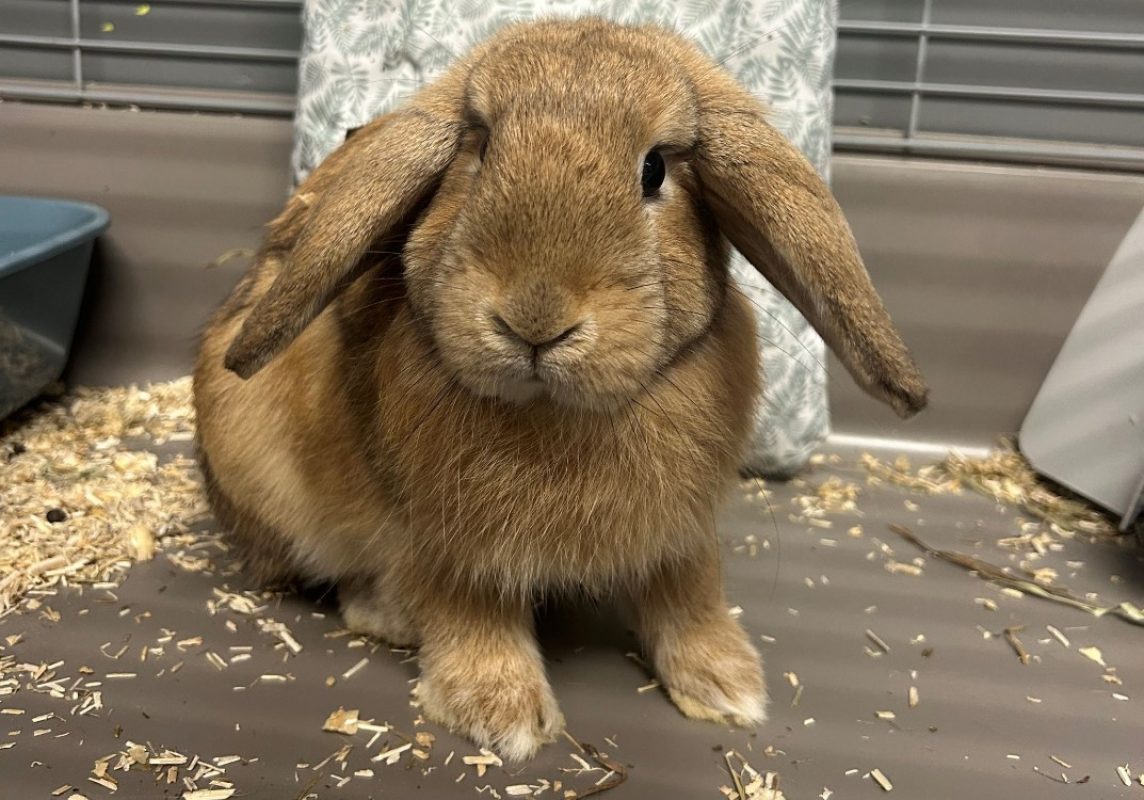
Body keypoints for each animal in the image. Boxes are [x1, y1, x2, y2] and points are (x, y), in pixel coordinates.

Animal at [192, 17, 927, 761]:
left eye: (655, 169)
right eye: (480, 149)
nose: (534, 321)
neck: (553, 411)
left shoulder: (679, 532)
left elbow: (690, 594)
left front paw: (727, 686)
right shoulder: (449, 542)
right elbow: (469, 612)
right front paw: (502, 713)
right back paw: (392, 615)